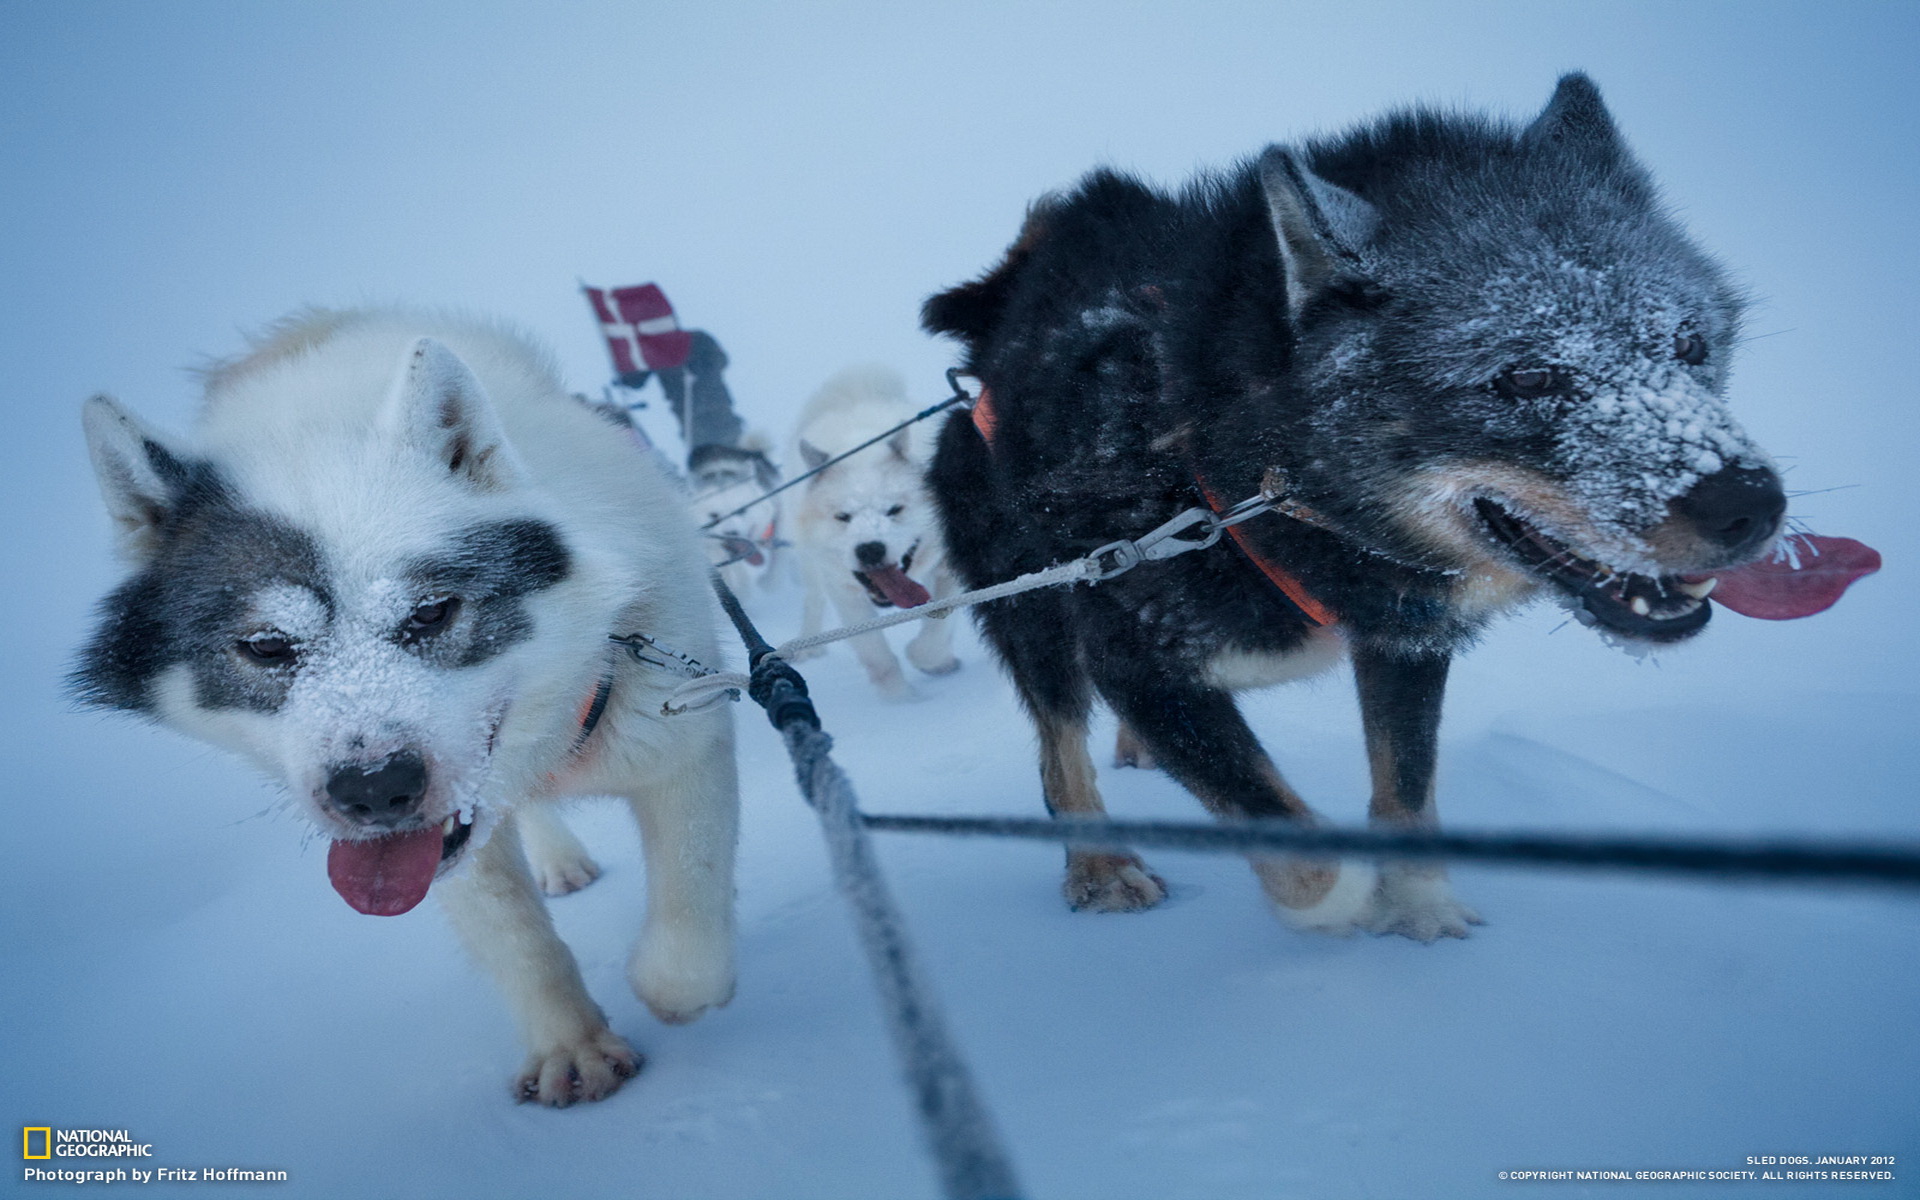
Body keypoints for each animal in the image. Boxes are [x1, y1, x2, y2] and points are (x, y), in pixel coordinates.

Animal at [74, 309, 737, 1105]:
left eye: (431, 612)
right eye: (266, 645)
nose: (373, 788)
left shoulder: (682, 739)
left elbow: (690, 907)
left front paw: (673, 986)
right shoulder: (446, 853)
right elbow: (517, 937)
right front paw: (569, 1041)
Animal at [783, 364, 956, 702]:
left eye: (894, 509)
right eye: (843, 516)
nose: (870, 549)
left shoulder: (949, 566)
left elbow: (936, 627)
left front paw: (932, 660)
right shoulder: (844, 593)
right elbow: (878, 656)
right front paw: (903, 702)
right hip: (811, 566)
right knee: (813, 600)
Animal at [921, 74, 1789, 940]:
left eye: (1688, 344)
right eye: (1529, 376)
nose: (1752, 503)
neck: (1231, 487)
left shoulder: (1406, 640)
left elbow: (1406, 784)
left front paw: (1420, 904)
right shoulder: (1140, 669)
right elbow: (1304, 853)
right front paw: (1358, 907)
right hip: (1035, 613)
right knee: (1060, 749)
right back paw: (1101, 865)